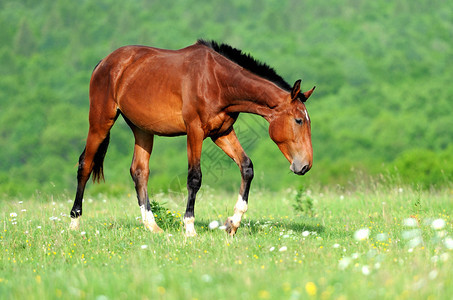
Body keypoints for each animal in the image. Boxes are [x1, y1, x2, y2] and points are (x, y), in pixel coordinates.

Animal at [69, 39, 314, 237]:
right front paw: (189, 227)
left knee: (139, 171)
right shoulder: (195, 131)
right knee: (85, 165)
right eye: (298, 120)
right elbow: (194, 178)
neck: (217, 81)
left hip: (142, 129)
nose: (305, 165)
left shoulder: (221, 133)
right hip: (100, 122)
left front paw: (233, 223)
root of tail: (105, 62)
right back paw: (74, 222)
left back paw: (153, 226)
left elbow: (246, 167)